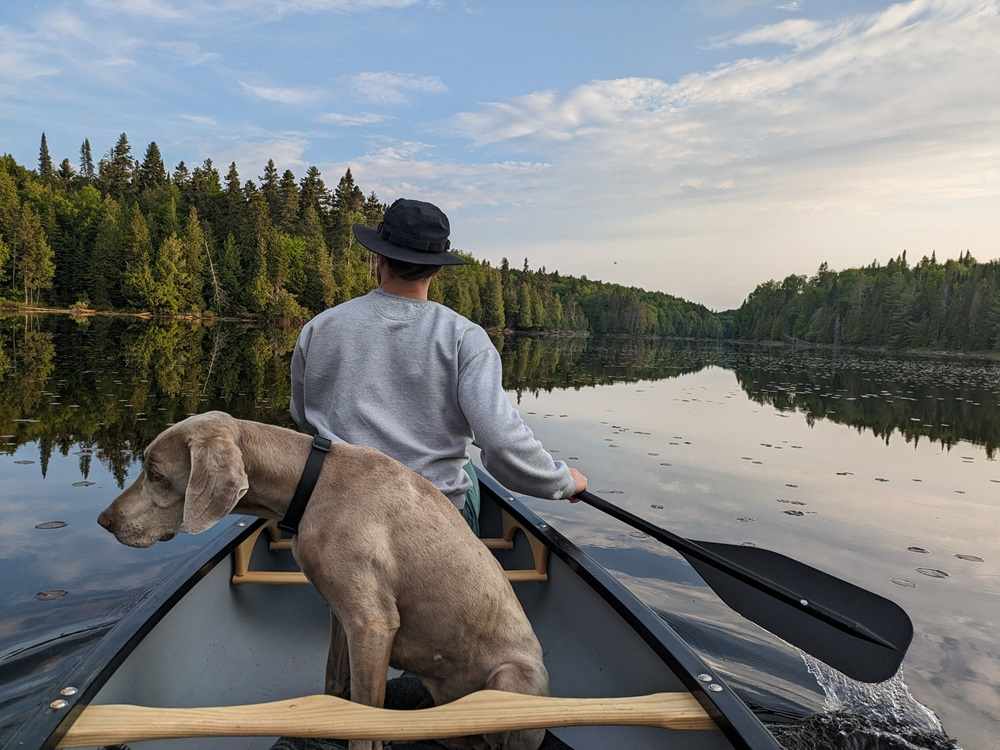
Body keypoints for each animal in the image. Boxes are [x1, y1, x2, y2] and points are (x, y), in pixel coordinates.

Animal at [97, 412, 552, 750]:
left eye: (156, 474)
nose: (104, 521)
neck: (309, 484)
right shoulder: (341, 613)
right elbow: (335, 687)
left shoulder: (372, 623)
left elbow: (365, 725)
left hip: (514, 679)